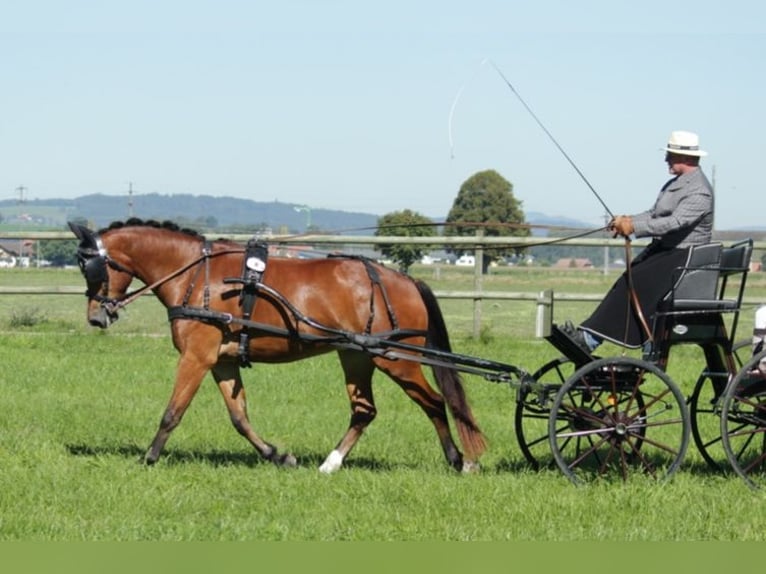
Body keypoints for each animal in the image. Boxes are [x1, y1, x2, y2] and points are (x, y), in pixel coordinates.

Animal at [69, 218, 488, 474]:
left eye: (90, 266)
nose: (96, 317)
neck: (195, 275)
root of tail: (404, 279)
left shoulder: (196, 357)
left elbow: (173, 411)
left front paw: (150, 457)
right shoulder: (221, 361)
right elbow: (239, 417)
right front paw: (278, 455)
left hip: (397, 360)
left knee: (433, 402)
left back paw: (458, 460)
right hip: (357, 355)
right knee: (364, 411)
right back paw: (331, 463)